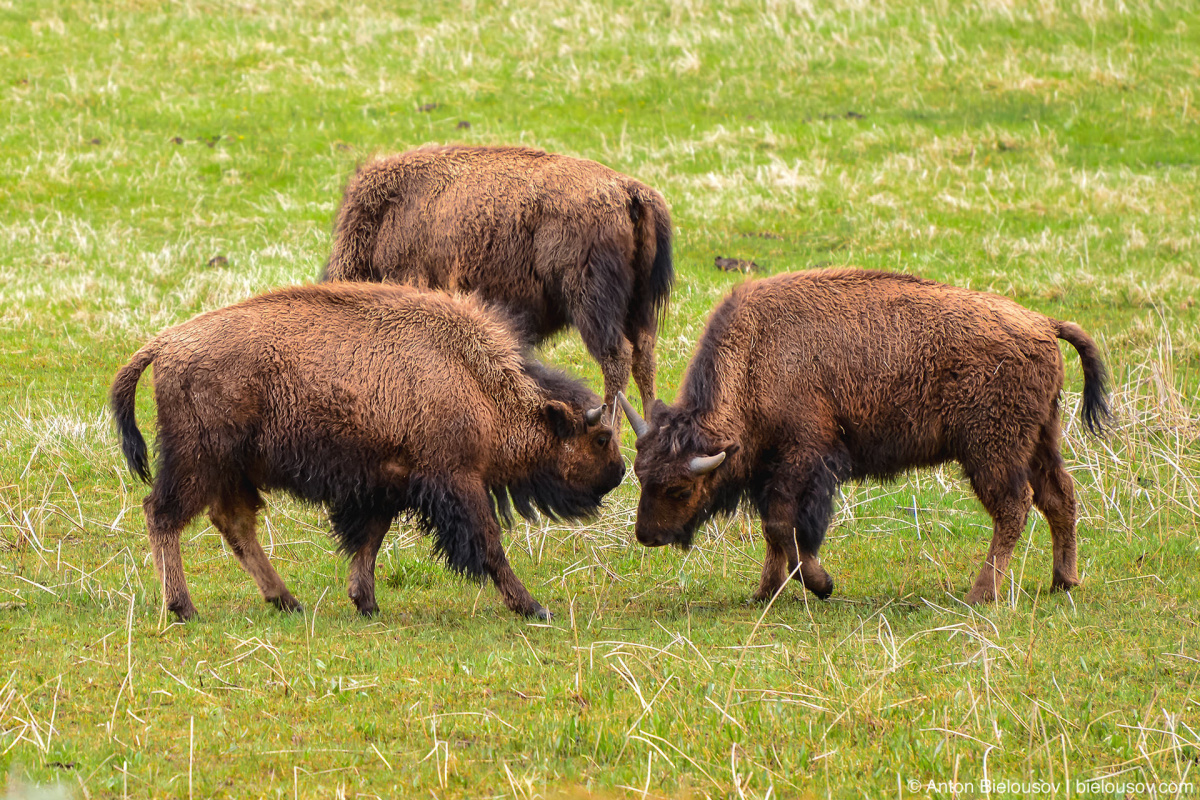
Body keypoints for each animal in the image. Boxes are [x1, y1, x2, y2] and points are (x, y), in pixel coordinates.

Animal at [110, 284, 628, 623]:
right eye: (600, 439)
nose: (619, 472)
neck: (476, 382)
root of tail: (164, 344)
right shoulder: (457, 480)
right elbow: (489, 547)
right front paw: (534, 607)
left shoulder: (386, 484)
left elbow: (368, 542)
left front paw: (366, 603)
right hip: (197, 462)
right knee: (162, 514)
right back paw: (184, 608)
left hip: (231, 470)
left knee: (234, 522)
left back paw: (287, 601)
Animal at [321, 144, 676, 417]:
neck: (381, 221)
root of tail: (628, 192)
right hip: (637, 308)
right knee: (644, 356)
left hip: (591, 305)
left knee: (617, 359)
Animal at [624, 268, 1108, 606]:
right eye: (640, 474)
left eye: (680, 488)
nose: (646, 535)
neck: (755, 356)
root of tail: (1043, 324)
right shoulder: (770, 469)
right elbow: (774, 531)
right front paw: (764, 593)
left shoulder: (804, 458)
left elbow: (784, 527)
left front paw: (821, 585)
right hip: (1040, 440)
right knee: (1059, 497)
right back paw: (1063, 581)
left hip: (991, 452)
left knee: (1013, 507)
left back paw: (980, 594)